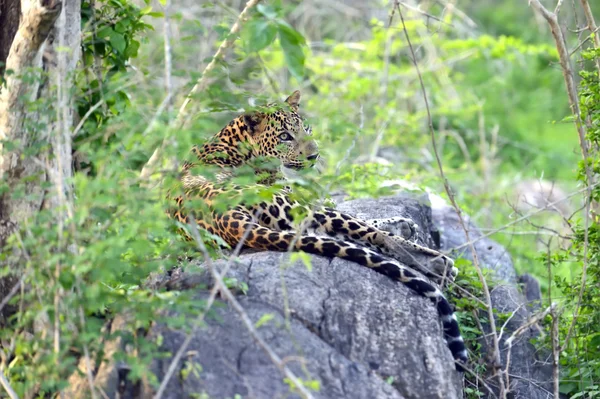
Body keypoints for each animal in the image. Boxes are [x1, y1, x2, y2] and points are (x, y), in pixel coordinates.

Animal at [169, 90, 468, 372]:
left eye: (306, 129)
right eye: (285, 136)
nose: (314, 156)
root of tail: (223, 214)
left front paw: (403, 223)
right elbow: (361, 217)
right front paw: (403, 226)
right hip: (295, 208)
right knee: (372, 236)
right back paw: (437, 262)